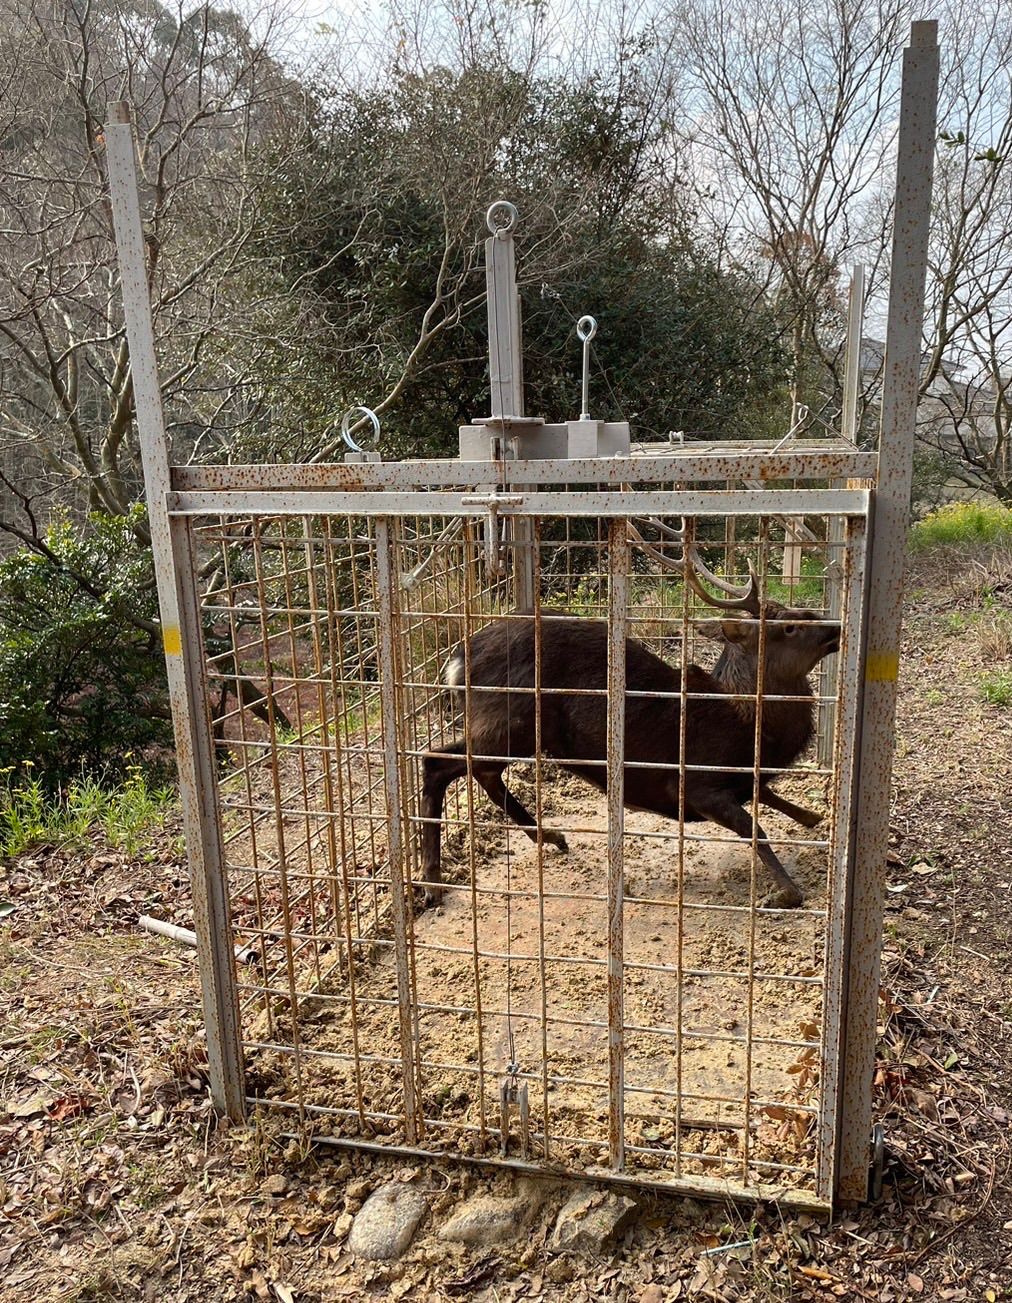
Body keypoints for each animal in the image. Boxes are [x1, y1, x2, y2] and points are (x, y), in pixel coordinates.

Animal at [414, 518, 838, 906]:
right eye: (789, 627)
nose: (834, 624)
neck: (751, 727)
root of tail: (456, 662)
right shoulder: (698, 782)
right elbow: (756, 830)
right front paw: (785, 893)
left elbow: (769, 795)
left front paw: (816, 818)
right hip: (509, 720)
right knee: (436, 761)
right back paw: (432, 880)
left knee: (482, 771)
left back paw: (549, 836)